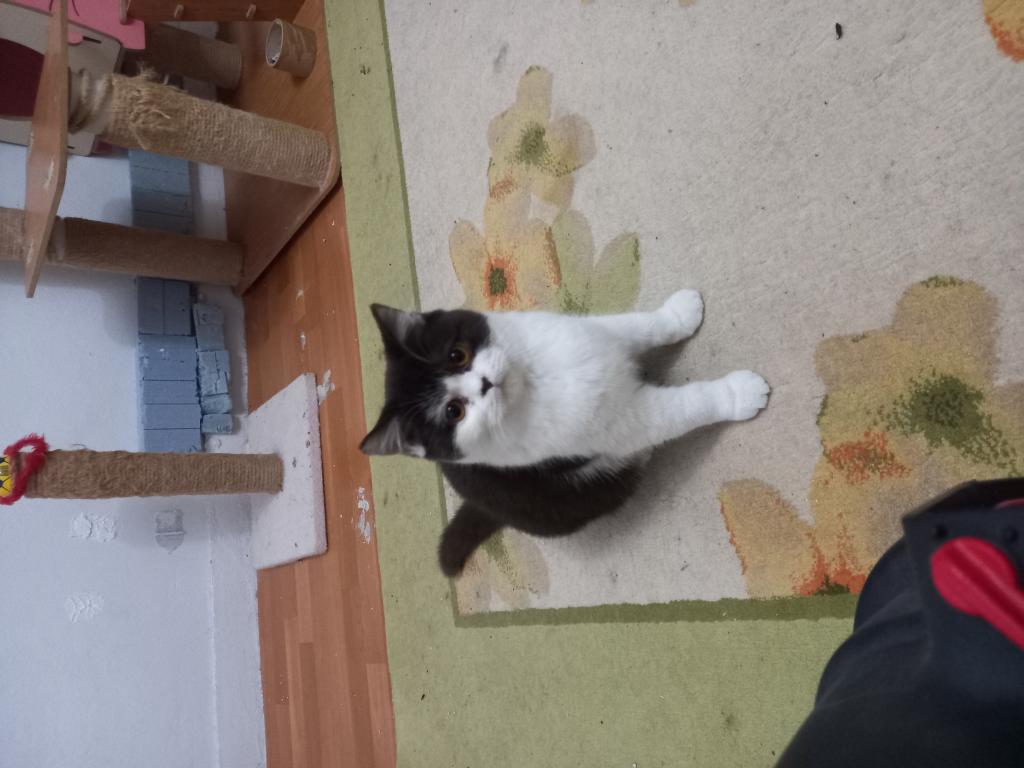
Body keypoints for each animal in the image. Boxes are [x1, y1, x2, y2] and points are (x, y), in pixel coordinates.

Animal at [359, 290, 770, 576]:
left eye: (456, 355)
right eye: (453, 411)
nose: (485, 383)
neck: (532, 381)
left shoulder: (586, 333)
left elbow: (636, 326)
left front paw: (680, 311)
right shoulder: (622, 422)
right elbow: (682, 408)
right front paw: (738, 394)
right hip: (579, 494)